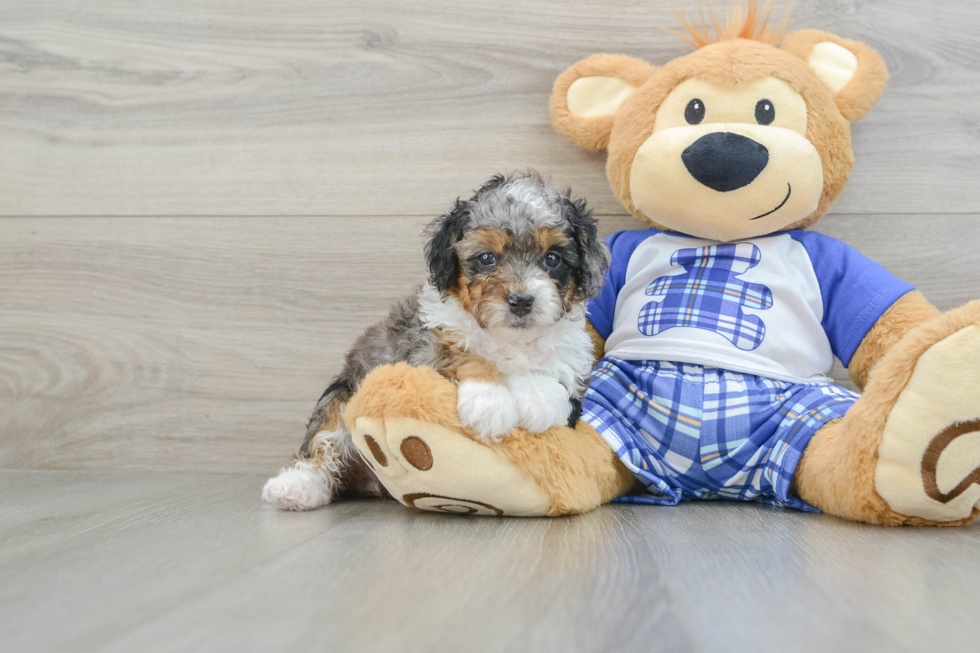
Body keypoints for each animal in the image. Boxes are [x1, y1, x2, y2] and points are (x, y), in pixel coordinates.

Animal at [264, 169, 608, 510]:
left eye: (552, 259)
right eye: (486, 258)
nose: (522, 301)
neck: (511, 339)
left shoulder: (574, 366)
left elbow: (554, 382)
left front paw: (536, 398)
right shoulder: (426, 345)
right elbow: (465, 354)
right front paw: (489, 403)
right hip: (343, 396)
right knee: (323, 445)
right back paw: (296, 487)